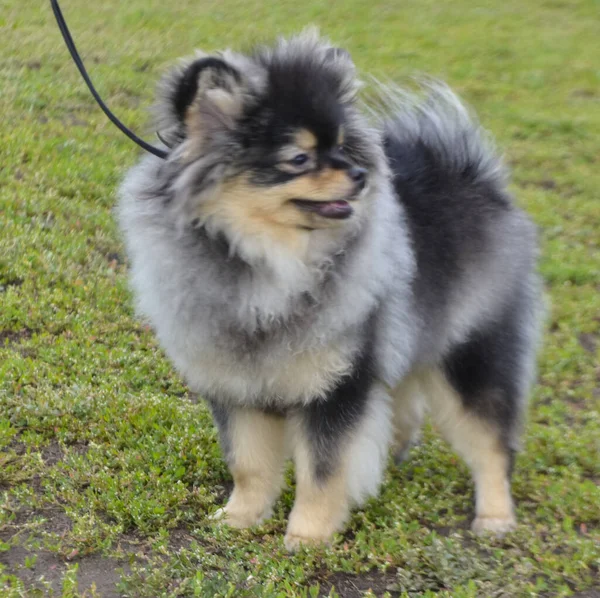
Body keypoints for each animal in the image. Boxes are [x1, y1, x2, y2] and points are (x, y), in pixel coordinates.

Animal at [118, 30, 544, 552]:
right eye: (299, 158)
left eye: (342, 147)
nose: (360, 175)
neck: (267, 262)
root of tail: (474, 175)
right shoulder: (237, 383)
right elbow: (248, 463)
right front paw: (240, 518)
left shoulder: (336, 383)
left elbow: (323, 470)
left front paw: (307, 536)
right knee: (405, 406)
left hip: (471, 351)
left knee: (491, 442)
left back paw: (495, 518)